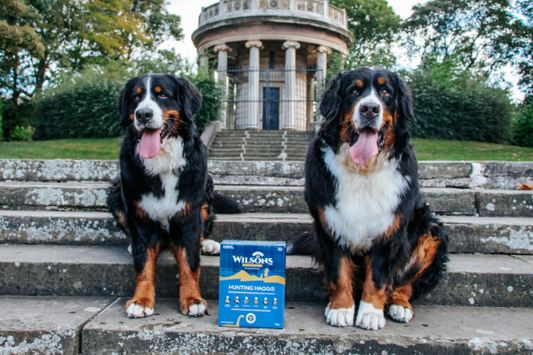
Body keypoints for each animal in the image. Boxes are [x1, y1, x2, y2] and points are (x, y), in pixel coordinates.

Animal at [107, 74, 240, 320]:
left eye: (163, 95)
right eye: (136, 98)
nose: (143, 114)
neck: (163, 162)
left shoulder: (188, 214)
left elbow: (190, 262)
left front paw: (193, 299)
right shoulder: (140, 217)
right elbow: (143, 263)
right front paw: (141, 300)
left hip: (206, 188)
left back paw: (208, 244)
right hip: (115, 193)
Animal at [288, 67, 446, 330]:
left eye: (385, 92)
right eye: (354, 91)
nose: (370, 109)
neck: (363, 170)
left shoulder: (390, 229)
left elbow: (379, 276)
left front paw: (371, 312)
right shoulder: (330, 224)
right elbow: (338, 271)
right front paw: (341, 308)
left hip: (430, 230)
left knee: (406, 283)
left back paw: (400, 306)